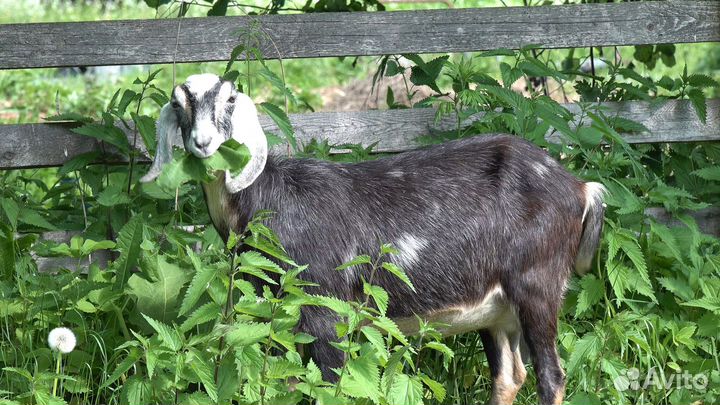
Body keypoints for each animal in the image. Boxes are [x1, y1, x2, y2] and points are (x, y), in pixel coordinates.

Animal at [141, 73, 605, 405]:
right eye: (179, 104)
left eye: (230, 101)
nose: (203, 143)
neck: (271, 197)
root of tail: (582, 189)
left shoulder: (326, 310)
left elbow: (329, 387)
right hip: (495, 310)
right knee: (510, 376)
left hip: (537, 284)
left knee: (551, 376)